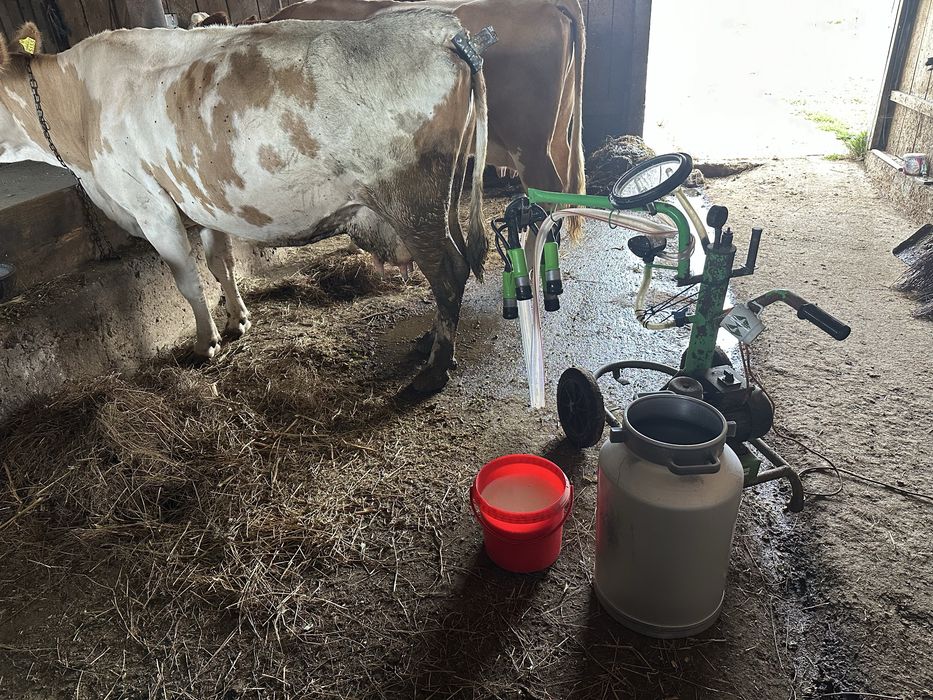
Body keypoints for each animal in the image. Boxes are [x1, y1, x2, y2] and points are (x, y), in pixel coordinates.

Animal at [0, 14, 488, 392]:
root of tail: (443, 28)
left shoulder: (151, 206)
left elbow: (187, 281)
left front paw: (206, 344)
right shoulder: (203, 199)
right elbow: (221, 265)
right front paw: (237, 321)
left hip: (412, 203)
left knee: (449, 272)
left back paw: (434, 370)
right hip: (442, 200)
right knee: (454, 267)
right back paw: (429, 343)